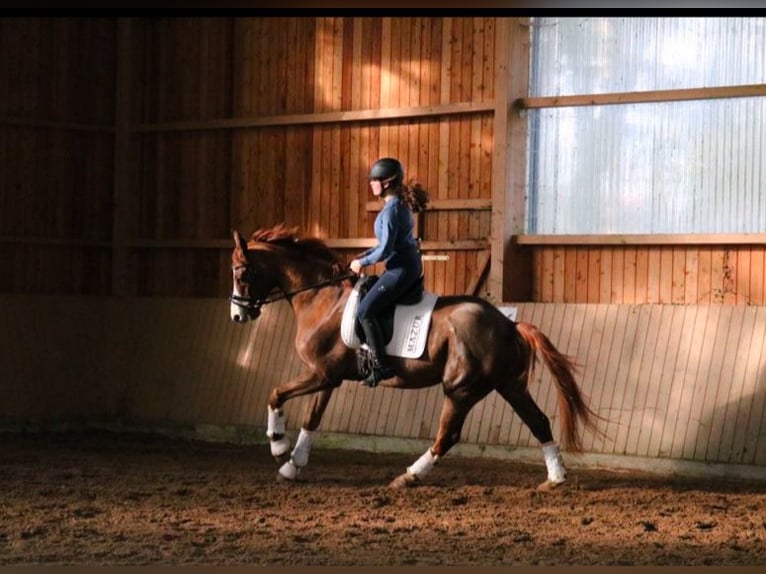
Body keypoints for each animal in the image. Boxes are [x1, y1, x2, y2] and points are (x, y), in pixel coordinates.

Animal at [231, 225, 604, 490]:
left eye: (241, 272)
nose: (237, 316)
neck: (322, 297)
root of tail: (509, 325)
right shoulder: (328, 377)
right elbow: (312, 419)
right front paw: (292, 465)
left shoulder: (321, 374)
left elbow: (276, 393)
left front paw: (278, 446)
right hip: (509, 385)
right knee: (538, 421)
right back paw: (555, 478)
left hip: (460, 390)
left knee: (448, 435)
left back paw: (409, 476)